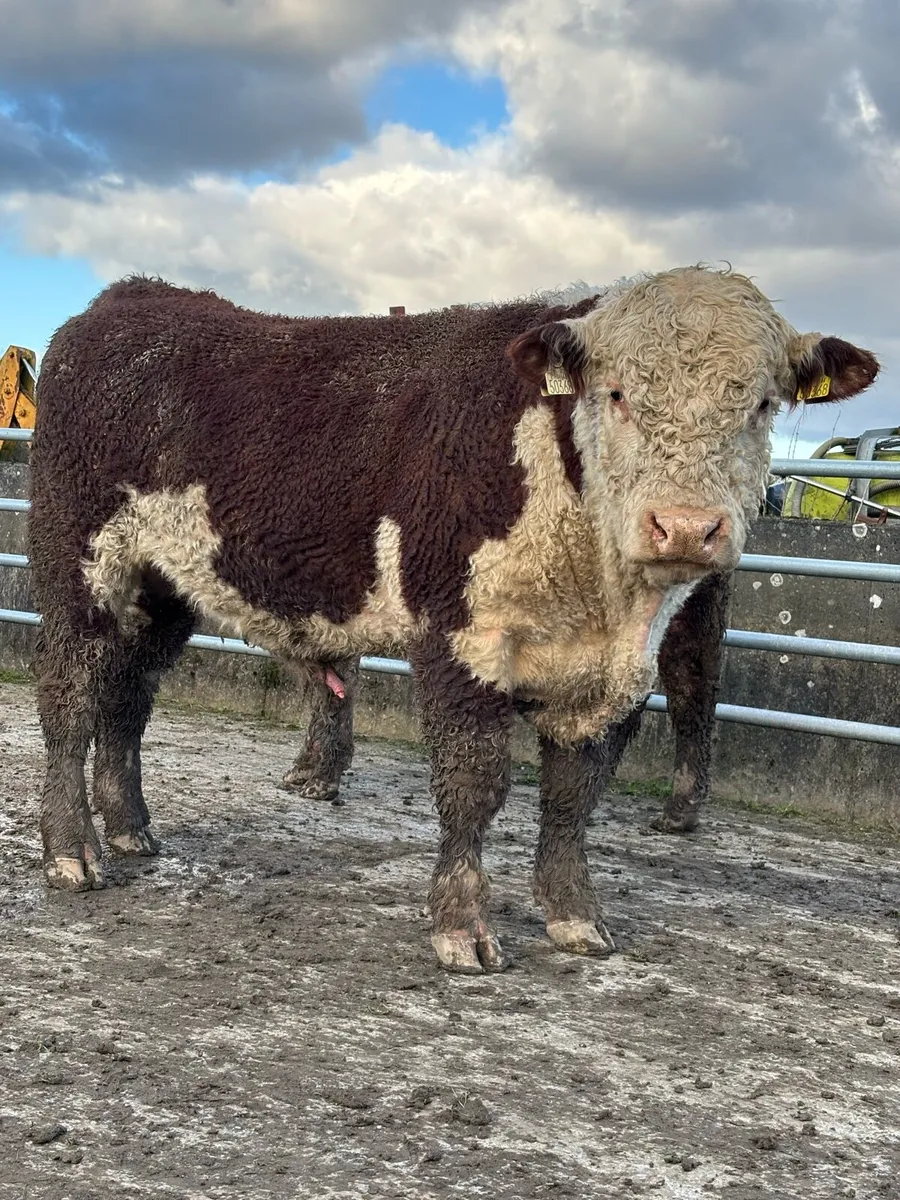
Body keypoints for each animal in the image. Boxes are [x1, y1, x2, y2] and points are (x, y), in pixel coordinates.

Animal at [28, 266, 878, 974]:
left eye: (762, 404)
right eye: (616, 394)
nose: (687, 527)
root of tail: (130, 299)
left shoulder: (614, 676)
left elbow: (573, 796)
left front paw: (575, 917)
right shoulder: (462, 637)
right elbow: (474, 784)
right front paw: (462, 929)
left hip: (163, 587)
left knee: (129, 697)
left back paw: (131, 828)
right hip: (79, 562)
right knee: (71, 699)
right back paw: (73, 853)